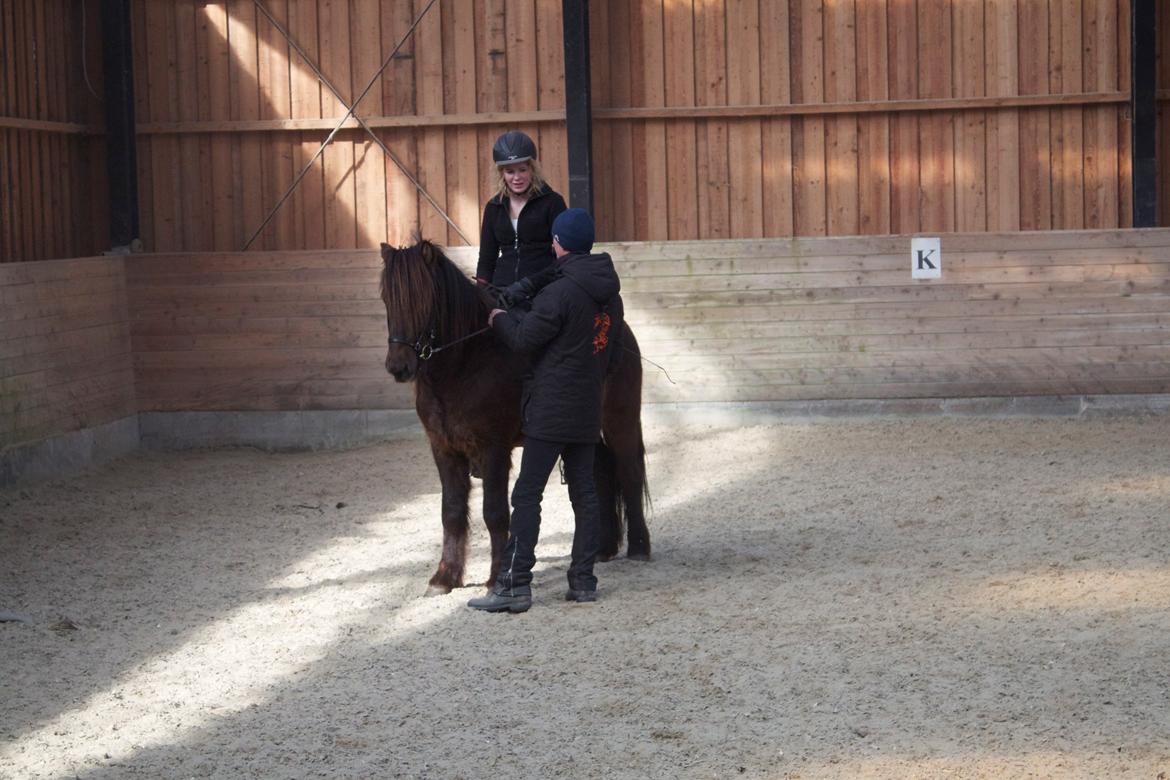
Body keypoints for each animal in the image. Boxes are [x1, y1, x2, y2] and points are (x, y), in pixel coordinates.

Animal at [381, 240, 650, 594]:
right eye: (387, 299)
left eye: (423, 299)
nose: (398, 367)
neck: (464, 364)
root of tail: (623, 333)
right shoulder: (444, 449)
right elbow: (451, 511)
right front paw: (445, 577)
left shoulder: (493, 449)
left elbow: (494, 512)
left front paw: (497, 576)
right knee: (601, 472)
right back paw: (603, 548)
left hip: (619, 421)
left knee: (629, 471)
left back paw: (639, 548)